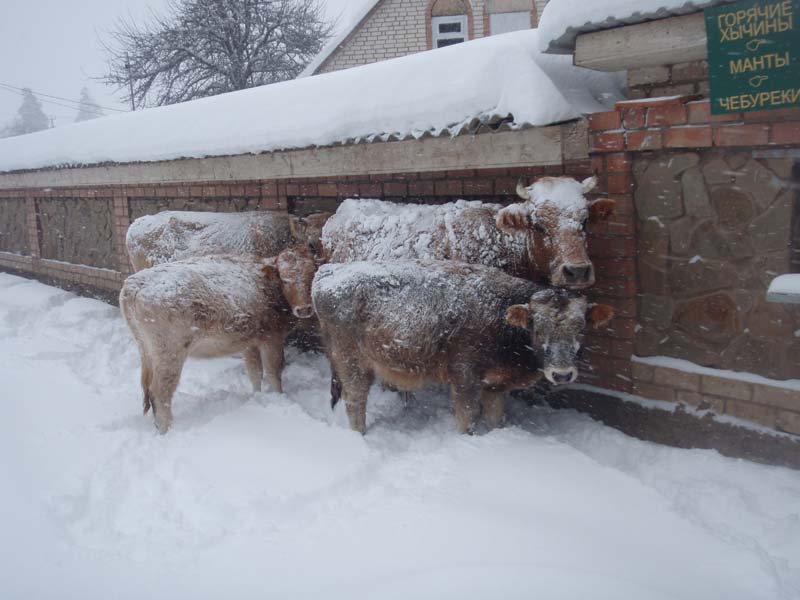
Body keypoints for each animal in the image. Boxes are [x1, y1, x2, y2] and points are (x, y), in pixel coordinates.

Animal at [120, 246, 317, 434]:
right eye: (285, 280)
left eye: (311, 274)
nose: (304, 309)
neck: (267, 285)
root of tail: (133, 286)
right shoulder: (272, 339)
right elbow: (273, 373)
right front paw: (279, 398)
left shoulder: (250, 342)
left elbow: (255, 373)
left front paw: (257, 396)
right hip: (170, 354)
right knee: (160, 392)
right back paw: (166, 429)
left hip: (146, 351)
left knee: (147, 388)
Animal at [312, 260, 614, 434]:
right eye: (538, 328)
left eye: (580, 328)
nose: (562, 374)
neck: (502, 313)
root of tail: (328, 271)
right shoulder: (465, 378)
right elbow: (467, 417)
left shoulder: (495, 386)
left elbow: (495, 418)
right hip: (353, 363)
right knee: (355, 400)